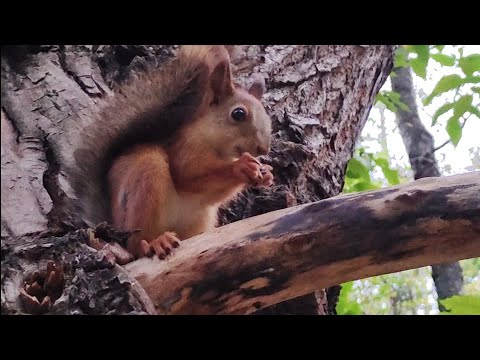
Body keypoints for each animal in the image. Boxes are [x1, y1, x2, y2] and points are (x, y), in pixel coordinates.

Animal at [71, 45, 274, 262]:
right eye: (238, 114)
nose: (263, 149)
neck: (218, 146)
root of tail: (115, 226)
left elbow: (214, 196)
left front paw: (266, 173)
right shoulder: (185, 149)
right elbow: (189, 176)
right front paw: (241, 166)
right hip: (145, 184)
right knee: (137, 244)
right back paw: (155, 242)